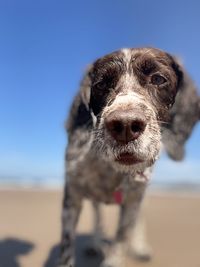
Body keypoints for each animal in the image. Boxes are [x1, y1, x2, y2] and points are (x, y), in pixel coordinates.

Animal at [57, 47, 185, 267]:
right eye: (100, 84)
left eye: (158, 79)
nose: (125, 125)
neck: (111, 170)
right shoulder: (72, 193)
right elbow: (67, 245)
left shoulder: (134, 199)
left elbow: (123, 236)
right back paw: (95, 243)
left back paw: (139, 247)